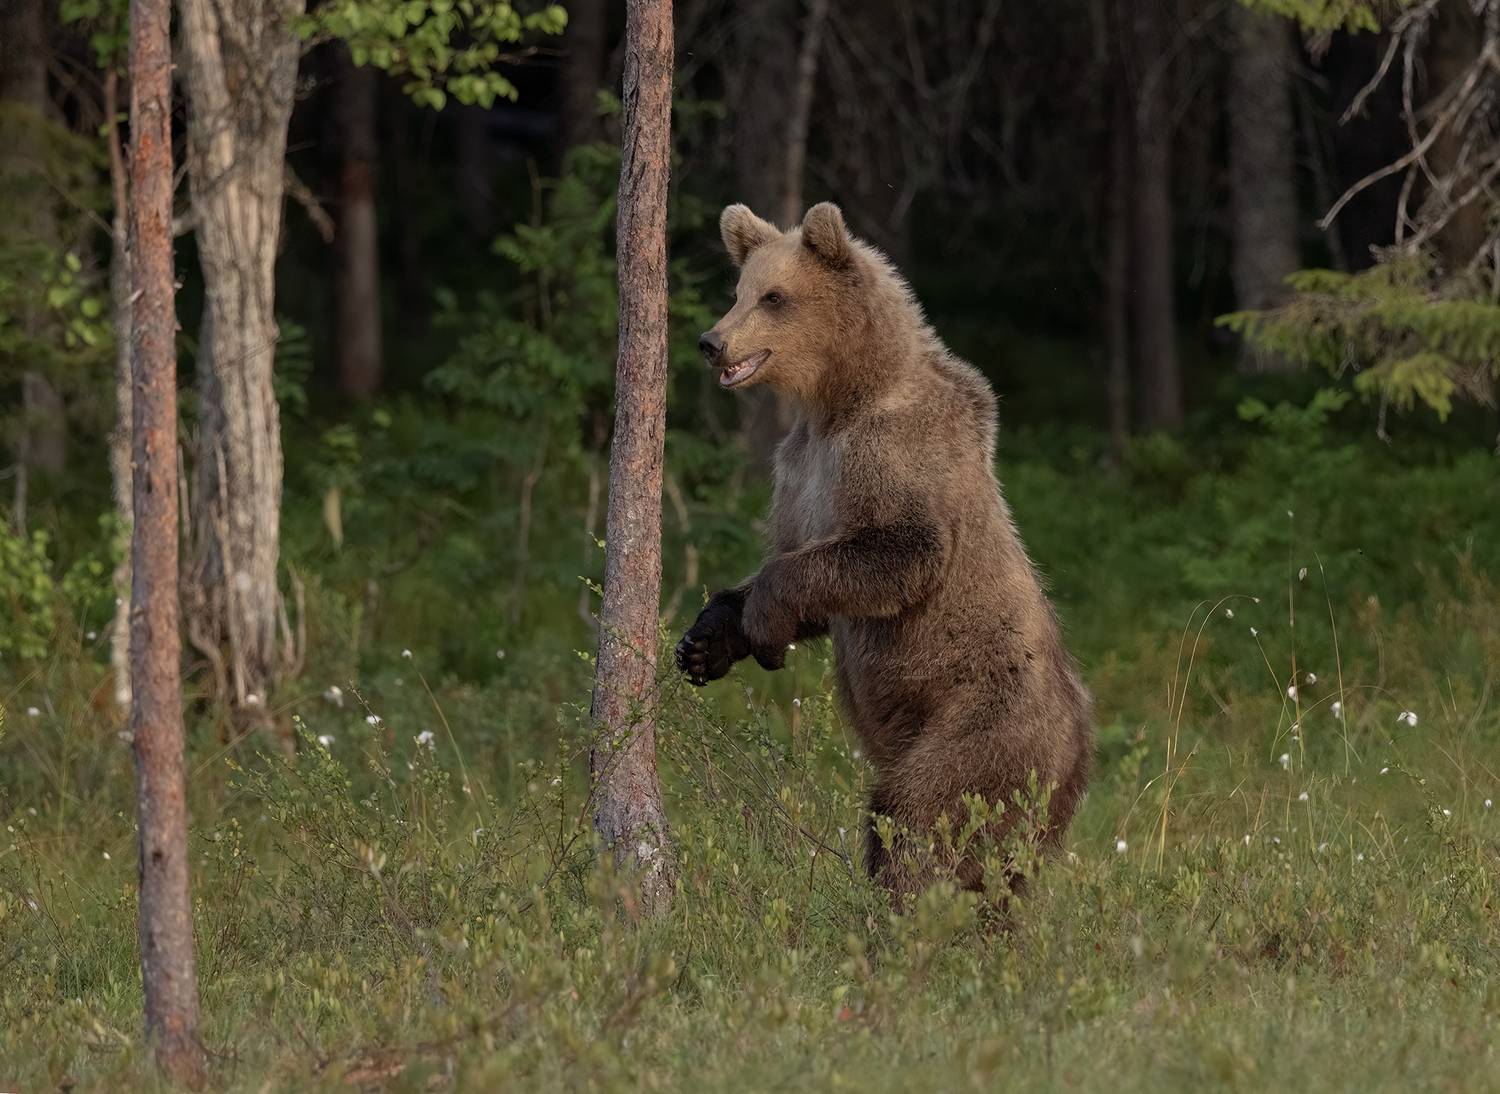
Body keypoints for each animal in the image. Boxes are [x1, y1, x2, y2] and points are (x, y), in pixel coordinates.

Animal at [675, 201, 1094, 897]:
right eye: (738, 291)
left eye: (774, 296)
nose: (712, 342)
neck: (838, 399)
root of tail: (1080, 745)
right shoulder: (799, 471)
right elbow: (810, 572)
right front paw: (706, 641)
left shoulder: (894, 453)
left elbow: (899, 553)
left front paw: (763, 619)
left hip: (984, 722)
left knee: (921, 812)